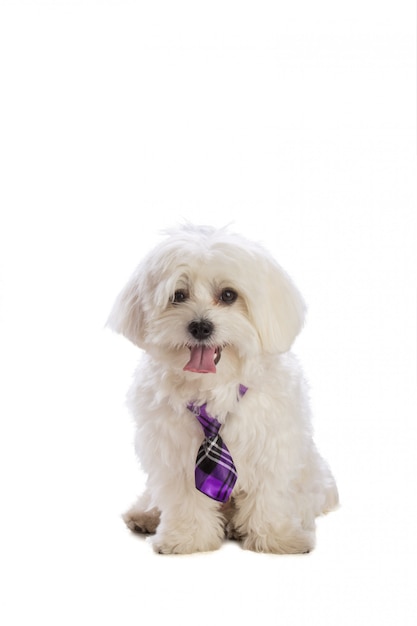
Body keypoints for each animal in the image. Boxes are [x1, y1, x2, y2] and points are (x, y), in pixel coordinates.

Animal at [108, 223, 338, 552]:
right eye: (178, 295)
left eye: (228, 295)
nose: (200, 326)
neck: (214, 385)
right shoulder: (176, 453)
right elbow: (187, 498)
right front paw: (186, 538)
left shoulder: (271, 447)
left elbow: (271, 496)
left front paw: (278, 538)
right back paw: (145, 515)